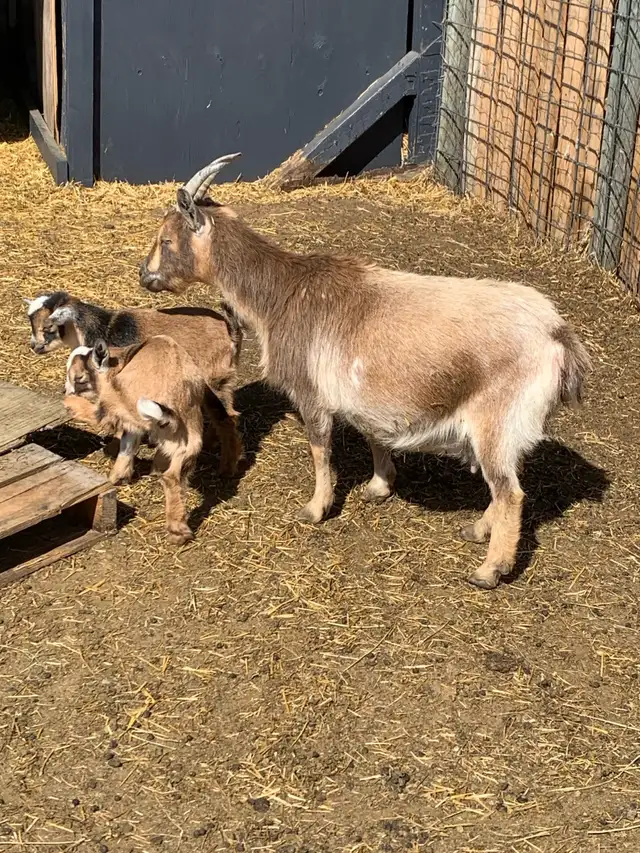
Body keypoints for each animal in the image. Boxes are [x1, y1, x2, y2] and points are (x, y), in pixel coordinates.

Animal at [25, 291, 242, 477]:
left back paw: (227, 469)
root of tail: (230, 331)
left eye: (48, 328)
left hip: (213, 379)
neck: (103, 329)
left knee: (227, 418)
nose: (34, 346)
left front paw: (113, 448)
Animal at [64, 335, 228, 544]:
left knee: (99, 414)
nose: (67, 390)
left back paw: (72, 405)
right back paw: (178, 531)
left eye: (79, 378)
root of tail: (171, 404)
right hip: (189, 441)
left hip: (117, 400)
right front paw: (118, 477)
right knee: (171, 477)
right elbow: (127, 447)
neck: (121, 360)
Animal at [139, 153, 591, 589]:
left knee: (510, 492)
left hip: (496, 421)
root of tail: (557, 335)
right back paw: (477, 530)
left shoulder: (311, 394)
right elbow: (374, 434)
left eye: (166, 239)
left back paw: (489, 570)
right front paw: (379, 486)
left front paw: (315, 509)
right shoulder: (367, 395)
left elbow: (320, 448)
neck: (283, 293)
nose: (145, 276)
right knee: (505, 486)